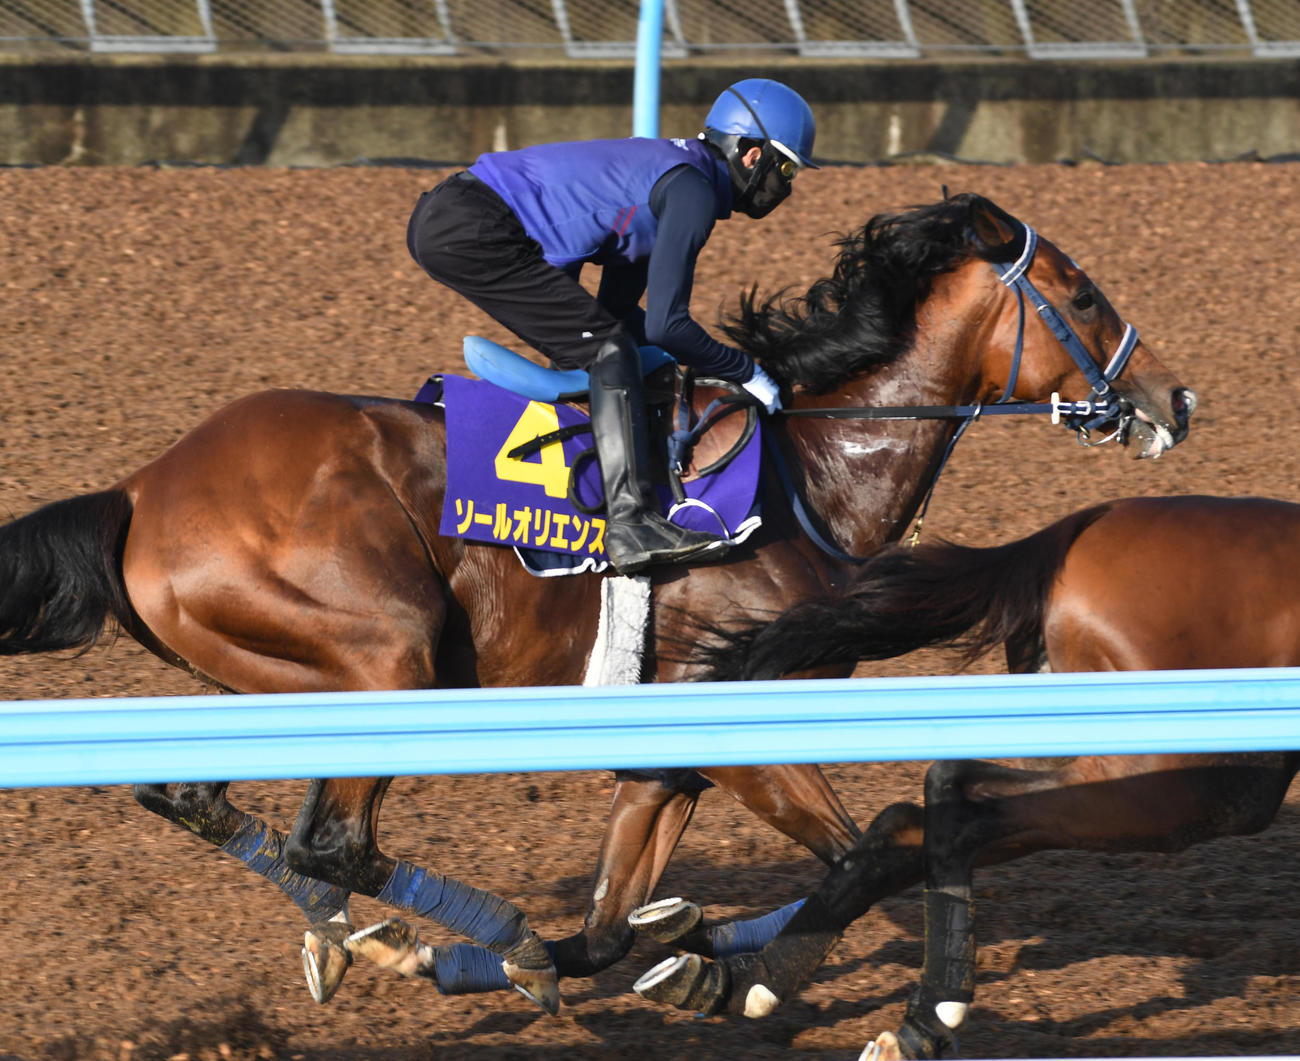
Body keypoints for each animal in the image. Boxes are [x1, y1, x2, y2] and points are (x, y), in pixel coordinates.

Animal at [0, 192, 1194, 1015]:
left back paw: (357, 935)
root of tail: (142, 486)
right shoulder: (738, 724)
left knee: (199, 797)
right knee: (328, 839)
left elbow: (617, 924)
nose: (1170, 398)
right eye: (1082, 294)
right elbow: (858, 849)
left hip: (271, 675)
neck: (806, 473)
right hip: (385, 657)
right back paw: (464, 930)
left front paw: (680, 959)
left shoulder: (667, 754)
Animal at [632, 494, 1300, 1058]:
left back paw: (742, 978)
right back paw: (930, 1013)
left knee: (916, 821)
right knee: (953, 807)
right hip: (1197, 783)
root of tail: (1077, 530)